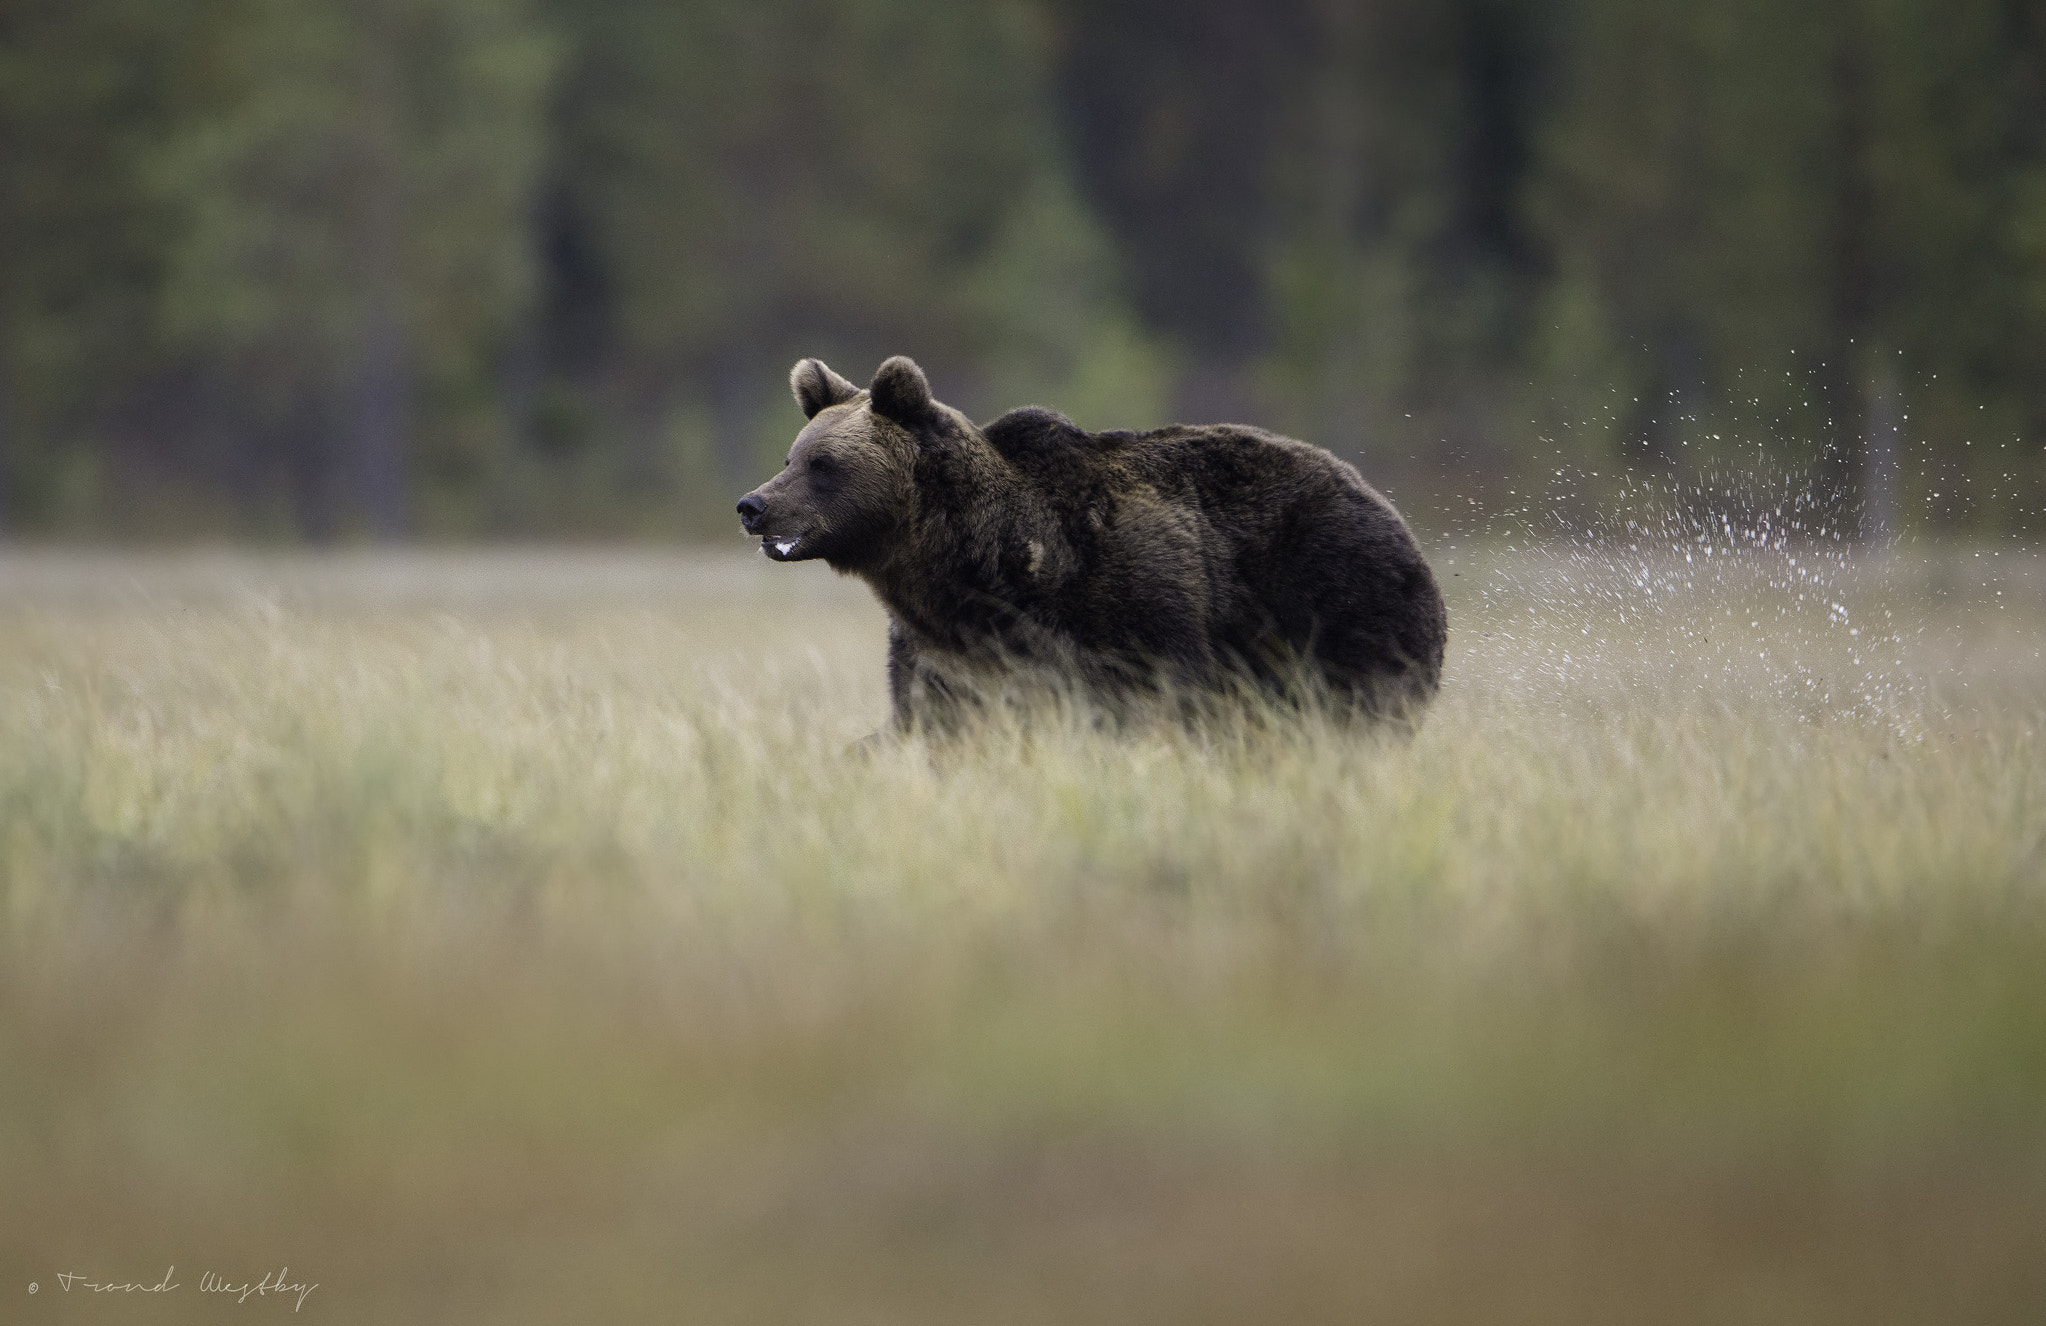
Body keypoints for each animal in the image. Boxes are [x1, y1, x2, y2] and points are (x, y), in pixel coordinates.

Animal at [736, 355, 1447, 732]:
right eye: (791, 456)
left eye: (823, 464)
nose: (753, 506)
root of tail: (1381, 500)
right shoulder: (945, 651)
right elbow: (936, 716)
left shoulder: (1126, 607)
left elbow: (1147, 698)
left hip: (1333, 599)